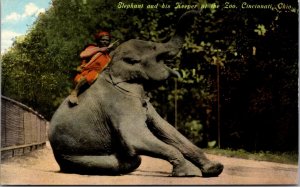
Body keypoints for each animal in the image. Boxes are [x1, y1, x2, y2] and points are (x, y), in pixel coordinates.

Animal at [48, 10, 223, 178]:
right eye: (154, 49)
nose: (200, 12)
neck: (112, 67)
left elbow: (168, 129)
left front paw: (215, 169)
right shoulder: (119, 103)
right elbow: (135, 136)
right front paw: (190, 173)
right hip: (72, 155)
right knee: (128, 160)